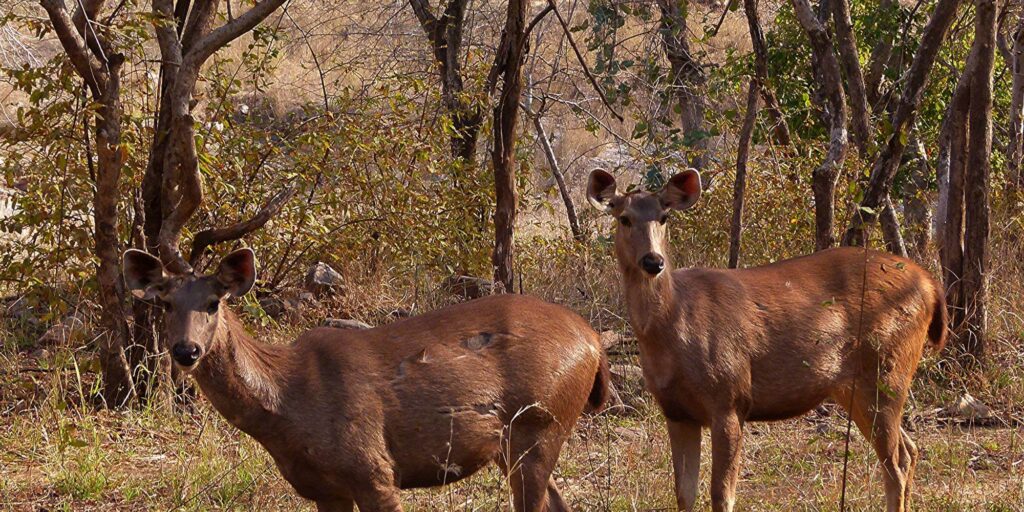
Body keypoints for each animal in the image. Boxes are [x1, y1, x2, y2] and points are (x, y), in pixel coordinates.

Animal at [124, 245, 610, 509]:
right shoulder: (323, 490)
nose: (185, 351)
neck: (288, 407)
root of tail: (593, 341)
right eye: (165, 302)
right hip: (523, 442)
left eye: (213, 302)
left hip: (538, 425)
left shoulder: (374, 469)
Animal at [589, 168, 946, 512]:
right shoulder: (677, 411)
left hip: (887, 369)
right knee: (909, 450)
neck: (673, 328)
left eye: (664, 217)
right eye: (624, 218)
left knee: (895, 463)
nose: (653, 261)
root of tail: (930, 283)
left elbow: (722, 495)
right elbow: (683, 494)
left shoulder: (730, 397)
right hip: (856, 387)